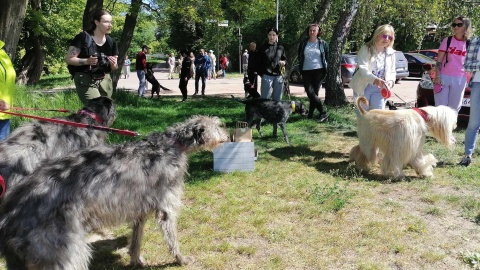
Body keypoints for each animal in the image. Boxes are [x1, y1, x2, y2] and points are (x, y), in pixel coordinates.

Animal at [0, 115, 230, 268]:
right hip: (64, 250)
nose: (227, 136)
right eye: (218, 126)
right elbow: (171, 236)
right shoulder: (166, 205)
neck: (173, 144)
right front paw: (181, 259)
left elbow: (136, 238)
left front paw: (136, 260)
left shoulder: (140, 208)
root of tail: (10, 213)